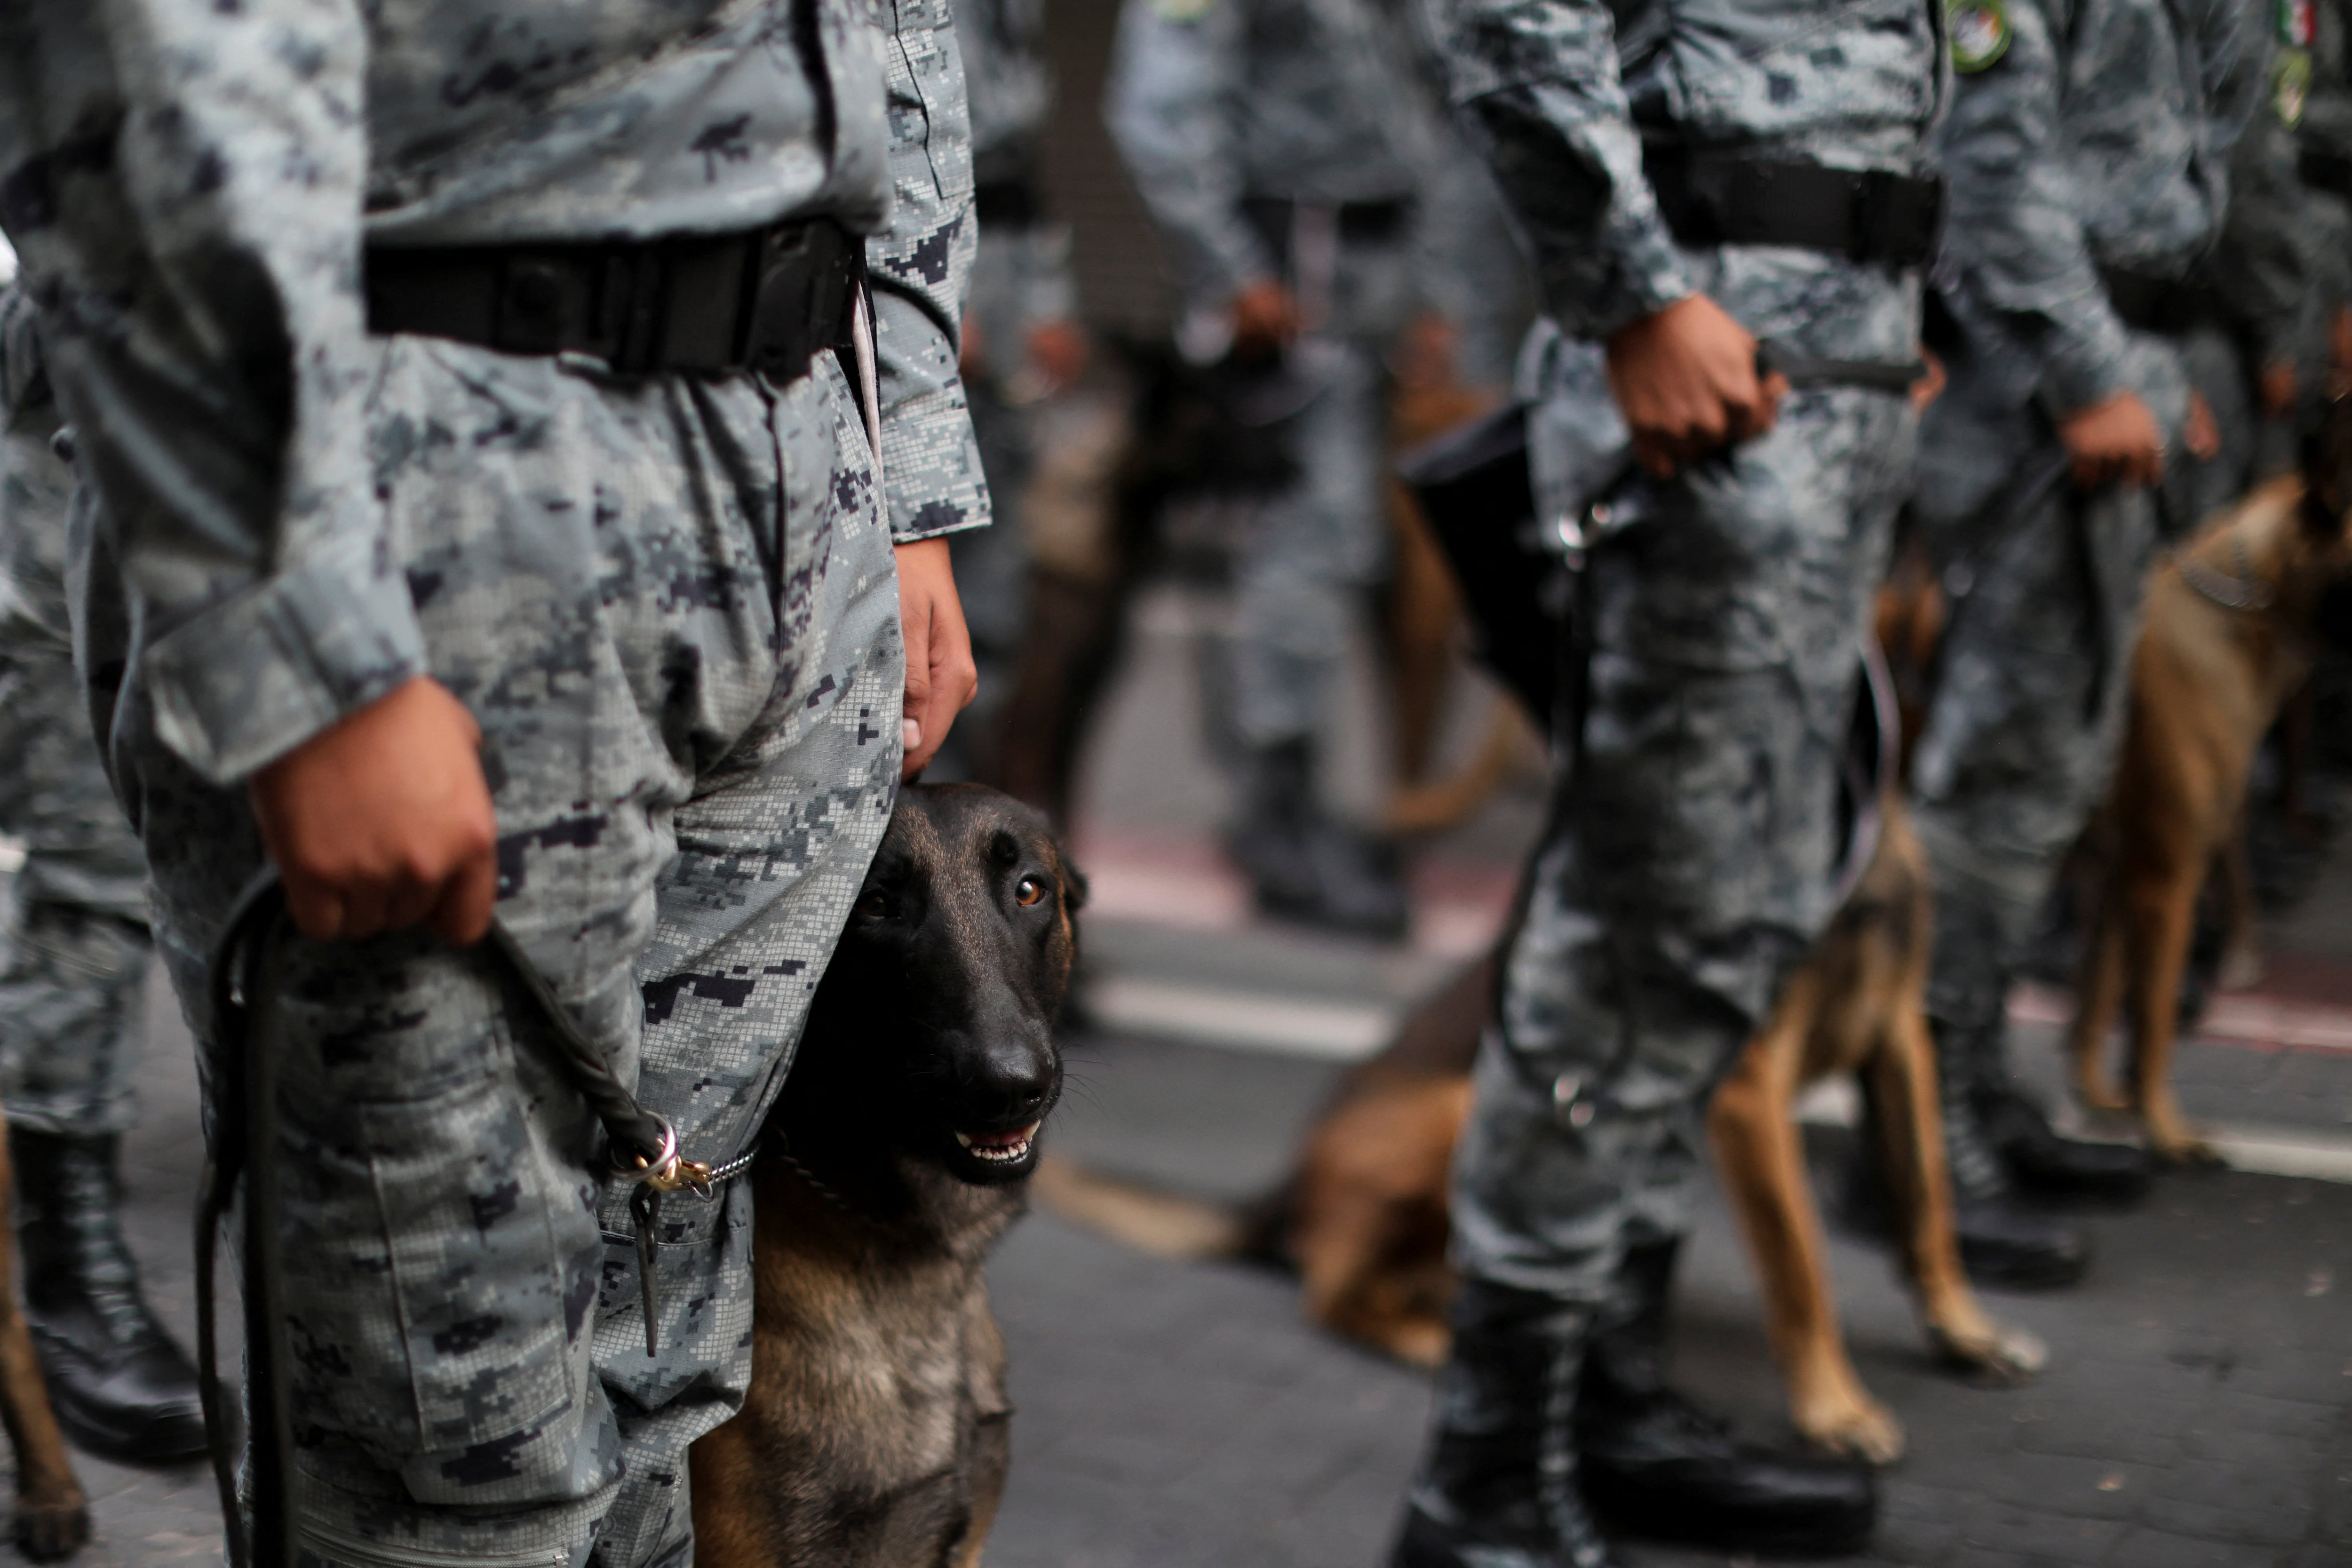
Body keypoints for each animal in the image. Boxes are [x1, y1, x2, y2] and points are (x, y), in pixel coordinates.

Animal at [2070, 395, 2352, 1166]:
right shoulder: (2166, 877)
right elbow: (2155, 1018)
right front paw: (2166, 1130)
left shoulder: (2123, 874)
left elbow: (2099, 1002)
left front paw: (2103, 1098)